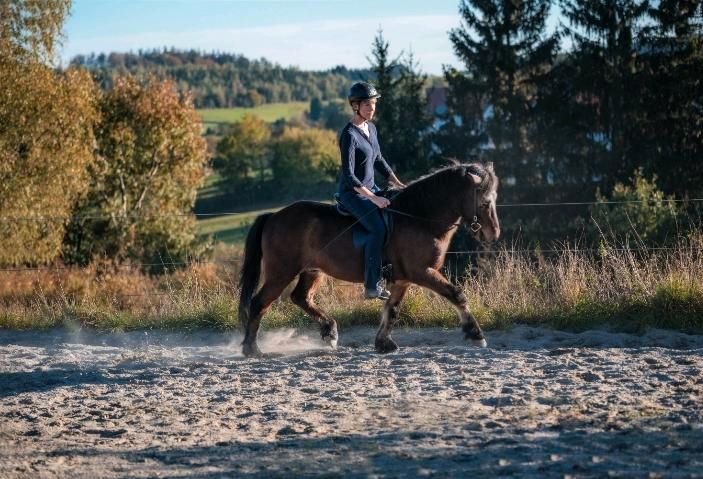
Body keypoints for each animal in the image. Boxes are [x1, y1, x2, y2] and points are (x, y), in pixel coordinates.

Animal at [238, 163, 500, 358]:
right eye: (485, 202)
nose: (493, 233)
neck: (419, 218)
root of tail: (274, 216)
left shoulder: (403, 279)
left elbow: (392, 309)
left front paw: (383, 343)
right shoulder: (422, 272)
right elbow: (456, 294)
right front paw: (476, 335)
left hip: (312, 270)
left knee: (300, 297)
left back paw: (329, 332)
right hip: (281, 272)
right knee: (259, 303)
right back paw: (252, 349)